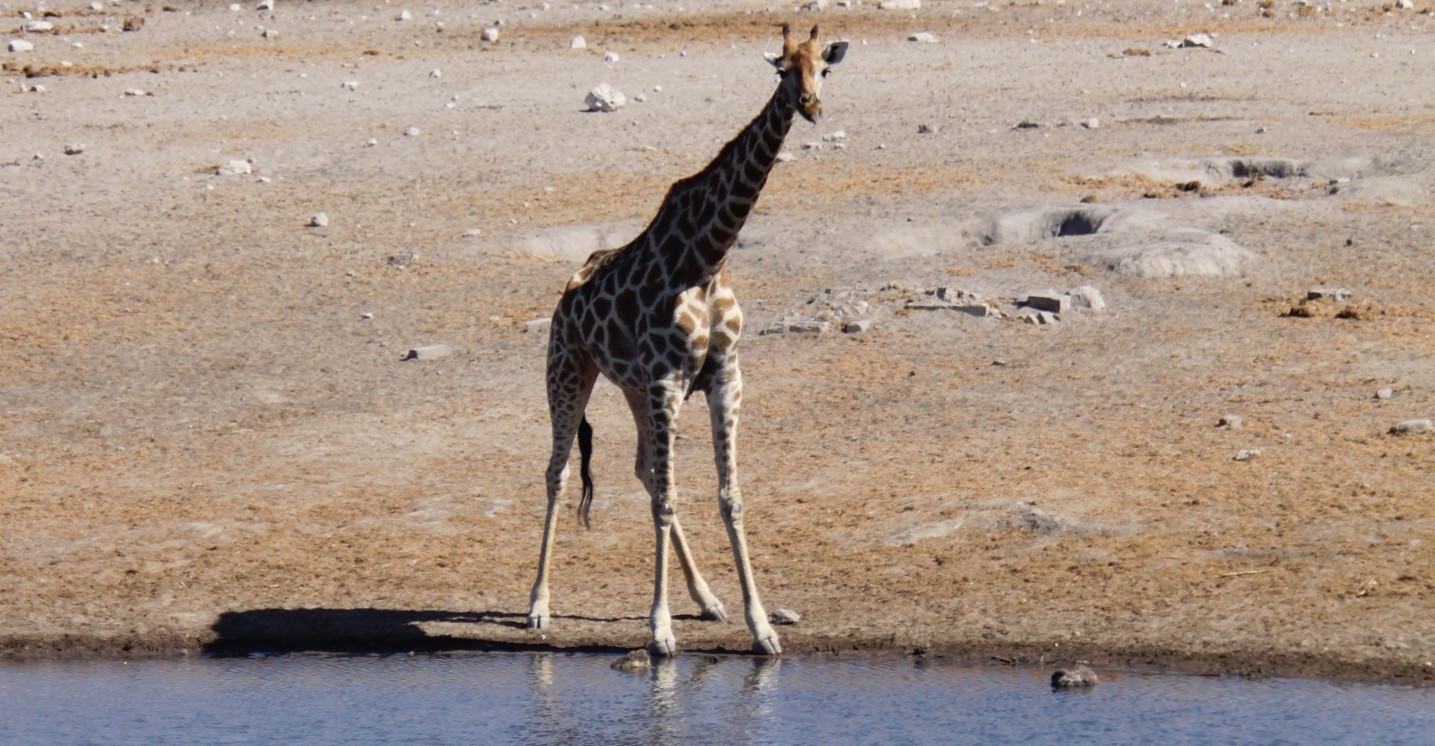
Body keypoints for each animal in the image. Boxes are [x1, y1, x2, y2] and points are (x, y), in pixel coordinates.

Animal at [525, 23, 838, 657]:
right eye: (782, 71)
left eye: (824, 68)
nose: (810, 106)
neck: (707, 257)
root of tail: (567, 291)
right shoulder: (671, 381)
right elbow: (669, 500)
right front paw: (659, 630)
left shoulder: (723, 377)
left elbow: (728, 497)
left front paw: (761, 627)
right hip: (568, 369)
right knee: (558, 471)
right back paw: (538, 605)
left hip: (631, 388)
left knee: (644, 469)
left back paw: (708, 598)